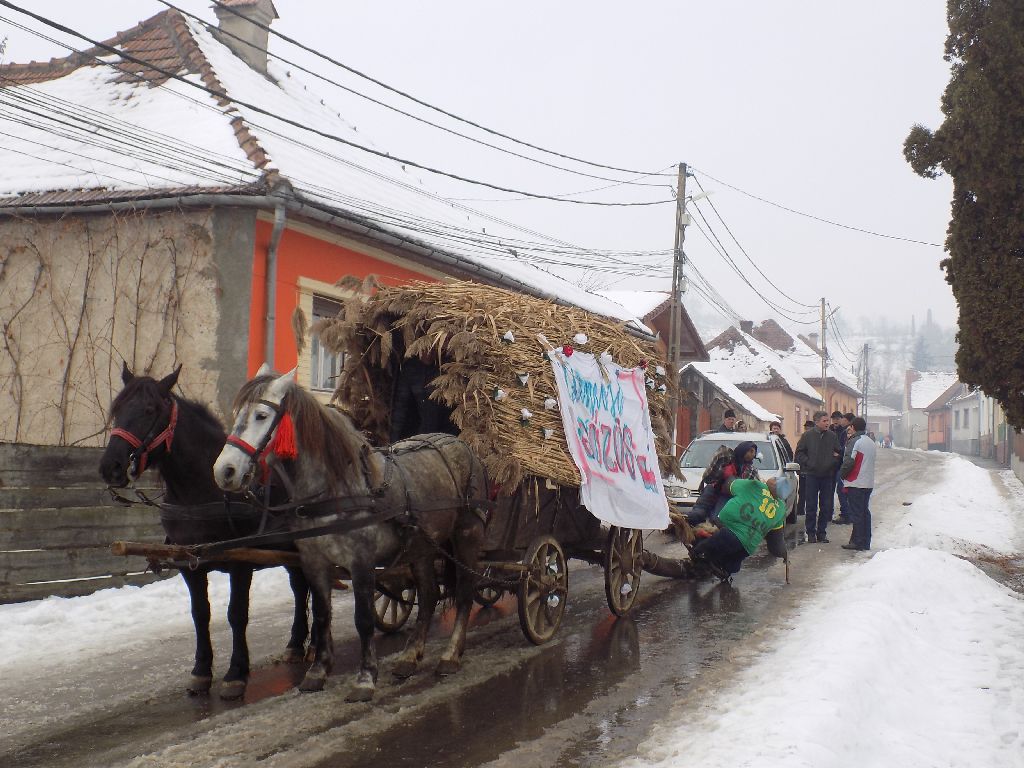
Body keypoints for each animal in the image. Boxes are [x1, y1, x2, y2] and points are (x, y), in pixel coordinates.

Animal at [101, 366, 315, 704]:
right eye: (117, 409)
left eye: (149, 410)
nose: (111, 466)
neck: (201, 489)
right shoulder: (190, 564)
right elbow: (200, 614)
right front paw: (201, 671)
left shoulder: (240, 560)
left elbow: (236, 614)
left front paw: (236, 674)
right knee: (299, 587)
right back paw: (296, 644)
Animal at [211, 370, 487, 700]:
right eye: (237, 413)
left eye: (261, 416)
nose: (224, 471)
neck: (336, 490)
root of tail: (462, 444)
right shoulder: (314, 562)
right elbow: (321, 614)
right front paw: (317, 672)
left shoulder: (361, 563)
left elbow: (364, 619)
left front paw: (365, 678)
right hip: (421, 546)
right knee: (430, 594)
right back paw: (409, 658)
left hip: (467, 536)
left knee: (466, 592)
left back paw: (450, 654)